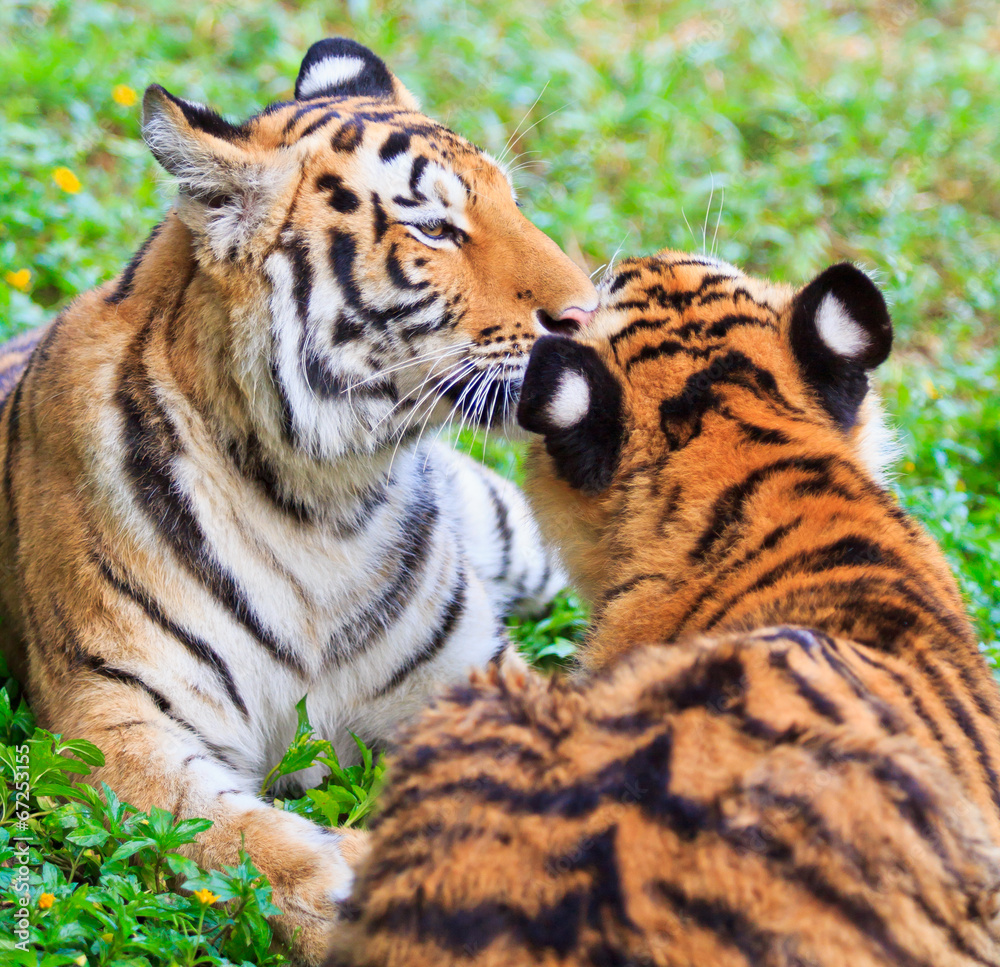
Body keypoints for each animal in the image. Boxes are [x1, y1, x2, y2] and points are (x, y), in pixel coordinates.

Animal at [0, 38, 598, 962]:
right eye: (433, 227)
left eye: (514, 202)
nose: (590, 312)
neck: (327, 499)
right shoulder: (108, 720)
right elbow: (245, 842)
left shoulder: (473, 673)